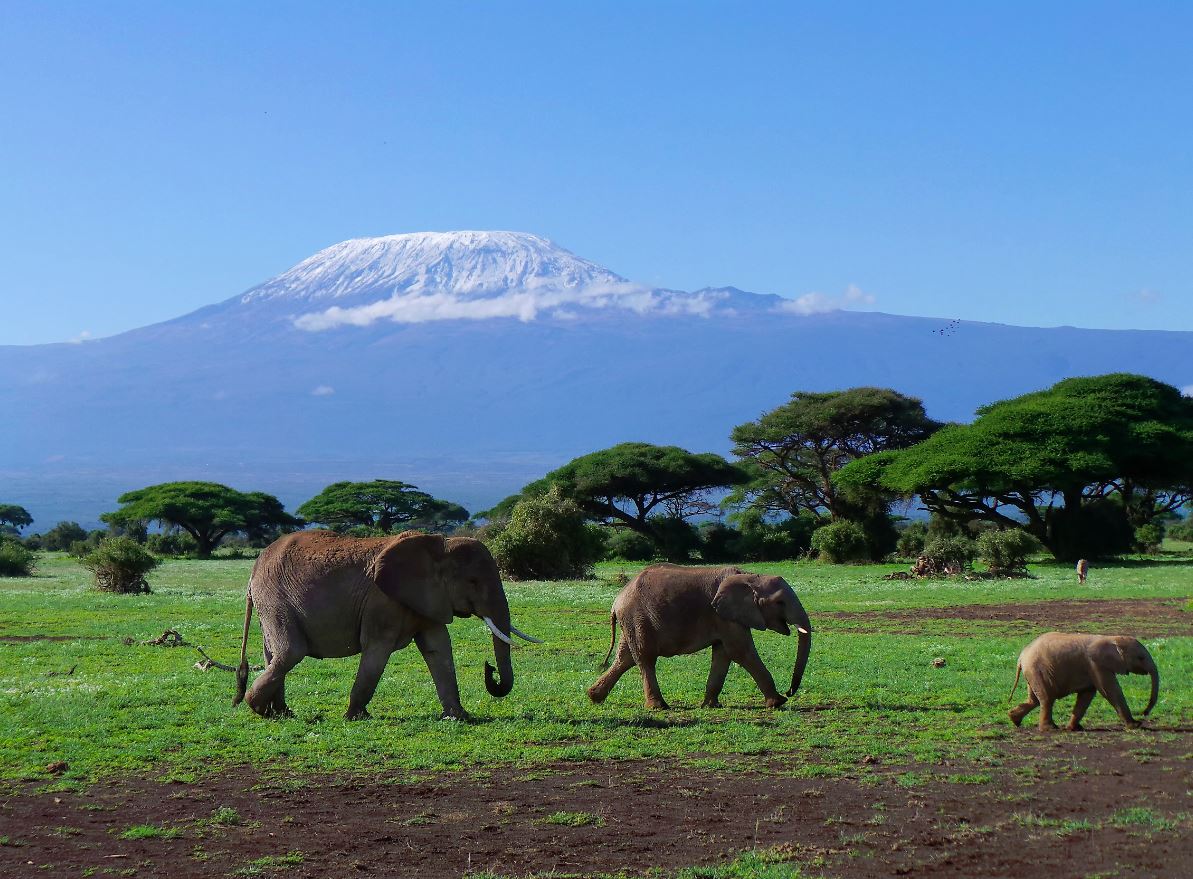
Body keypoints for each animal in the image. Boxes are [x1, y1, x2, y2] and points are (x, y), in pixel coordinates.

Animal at [232, 527, 541, 720]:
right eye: (473, 582)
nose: (489, 670)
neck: (439, 546)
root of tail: (253, 571)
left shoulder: (427, 600)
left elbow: (438, 649)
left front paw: (459, 717)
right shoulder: (382, 602)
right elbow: (377, 651)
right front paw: (356, 717)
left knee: (273, 654)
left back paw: (281, 713)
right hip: (275, 599)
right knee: (290, 652)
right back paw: (258, 708)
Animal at [586, 562, 811, 715]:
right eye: (780, 602)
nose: (789, 692)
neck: (751, 577)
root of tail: (616, 601)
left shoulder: (725, 618)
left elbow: (723, 654)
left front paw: (711, 706)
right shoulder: (724, 616)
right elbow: (741, 651)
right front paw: (778, 703)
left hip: (632, 621)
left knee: (625, 659)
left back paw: (594, 697)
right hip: (637, 618)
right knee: (645, 658)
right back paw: (659, 707)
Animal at [1011, 629, 1159, 729]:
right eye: (1141, 658)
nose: (1144, 713)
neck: (1112, 639)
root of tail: (1021, 657)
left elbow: (1087, 695)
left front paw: (1074, 729)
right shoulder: (1096, 664)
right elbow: (1110, 691)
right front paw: (1135, 726)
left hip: (1033, 672)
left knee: (1034, 700)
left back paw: (1014, 719)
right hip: (1037, 670)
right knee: (1047, 699)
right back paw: (1050, 729)